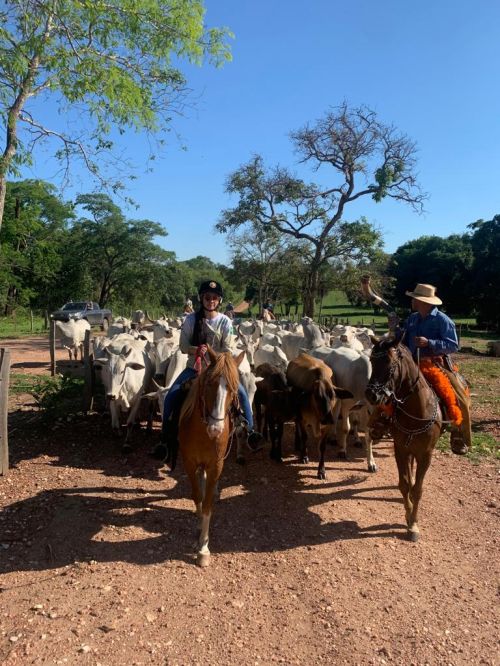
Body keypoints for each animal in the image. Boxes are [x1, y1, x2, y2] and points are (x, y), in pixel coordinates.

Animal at [179, 342, 245, 564]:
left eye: (233, 389)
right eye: (209, 384)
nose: (216, 429)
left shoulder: (216, 464)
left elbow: (208, 504)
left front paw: (204, 547)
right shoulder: (189, 462)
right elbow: (197, 496)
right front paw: (198, 527)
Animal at [366, 338, 444, 540]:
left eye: (390, 363)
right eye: (371, 361)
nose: (371, 395)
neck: (417, 411)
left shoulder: (425, 455)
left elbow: (417, 489)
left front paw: (414, 525)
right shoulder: (400, 449)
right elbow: (405, 484)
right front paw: (408, 517)